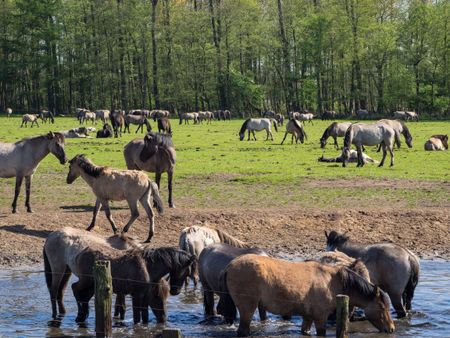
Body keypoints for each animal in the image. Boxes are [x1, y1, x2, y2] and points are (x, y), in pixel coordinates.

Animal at [223, 255, 396, 336]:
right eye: (382, 307)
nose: (391, 328)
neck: (332, 281)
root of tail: (230, 265)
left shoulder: (308, 317)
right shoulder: (320, 318)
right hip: (247, 309)